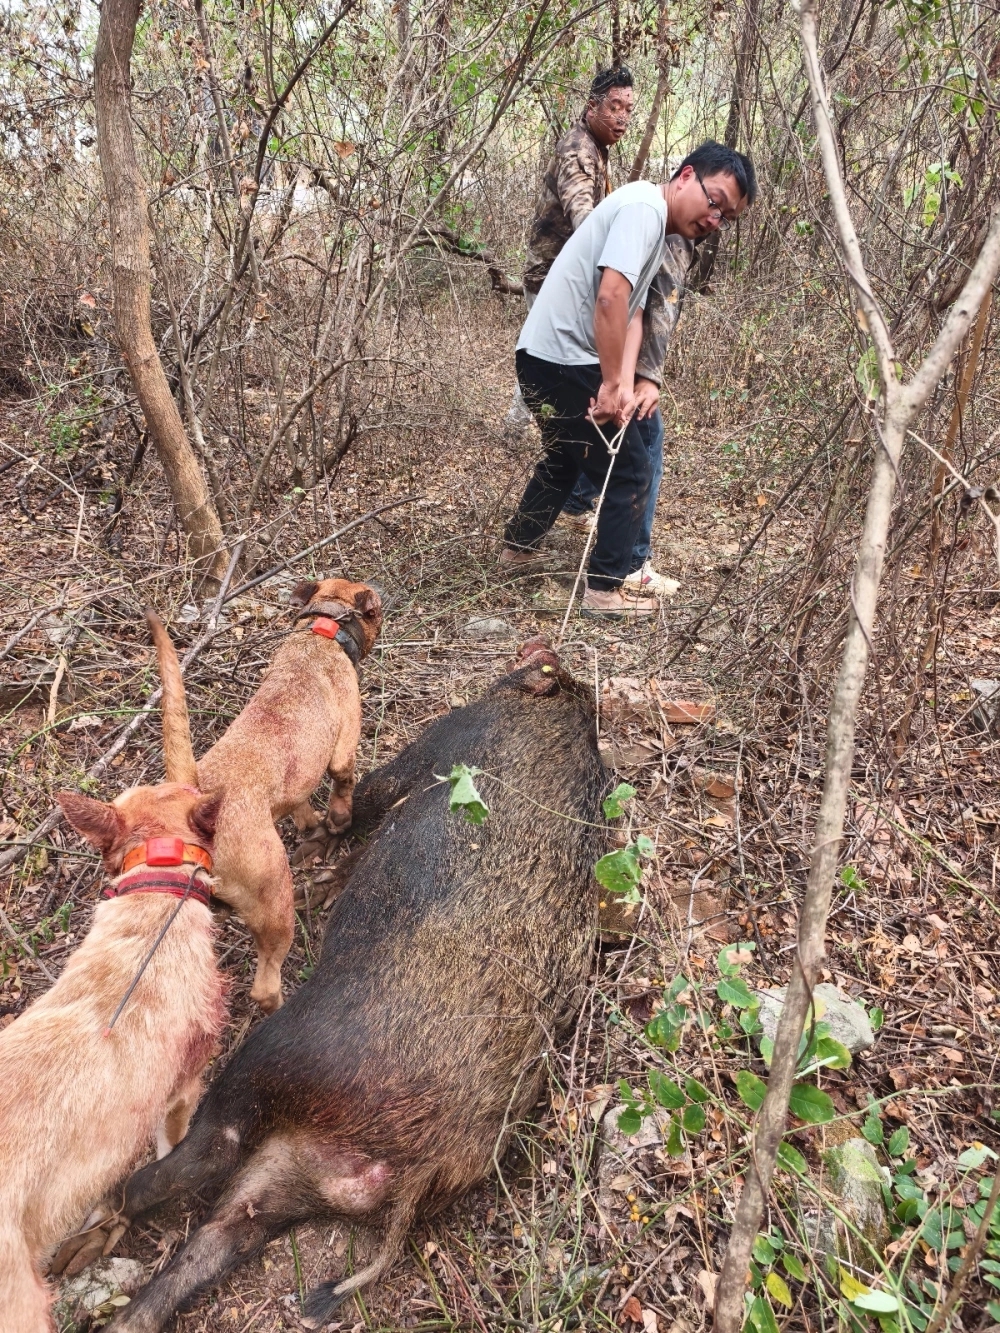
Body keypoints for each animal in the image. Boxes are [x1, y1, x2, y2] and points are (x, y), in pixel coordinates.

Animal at [192, 575, 384, 1007]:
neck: (323, 632)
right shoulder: (343, 749)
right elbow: (343, 788)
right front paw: (338, 820)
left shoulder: (299, 781)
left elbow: (302, 806)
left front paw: (312, 826)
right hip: (274, 904)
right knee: (265, 984)